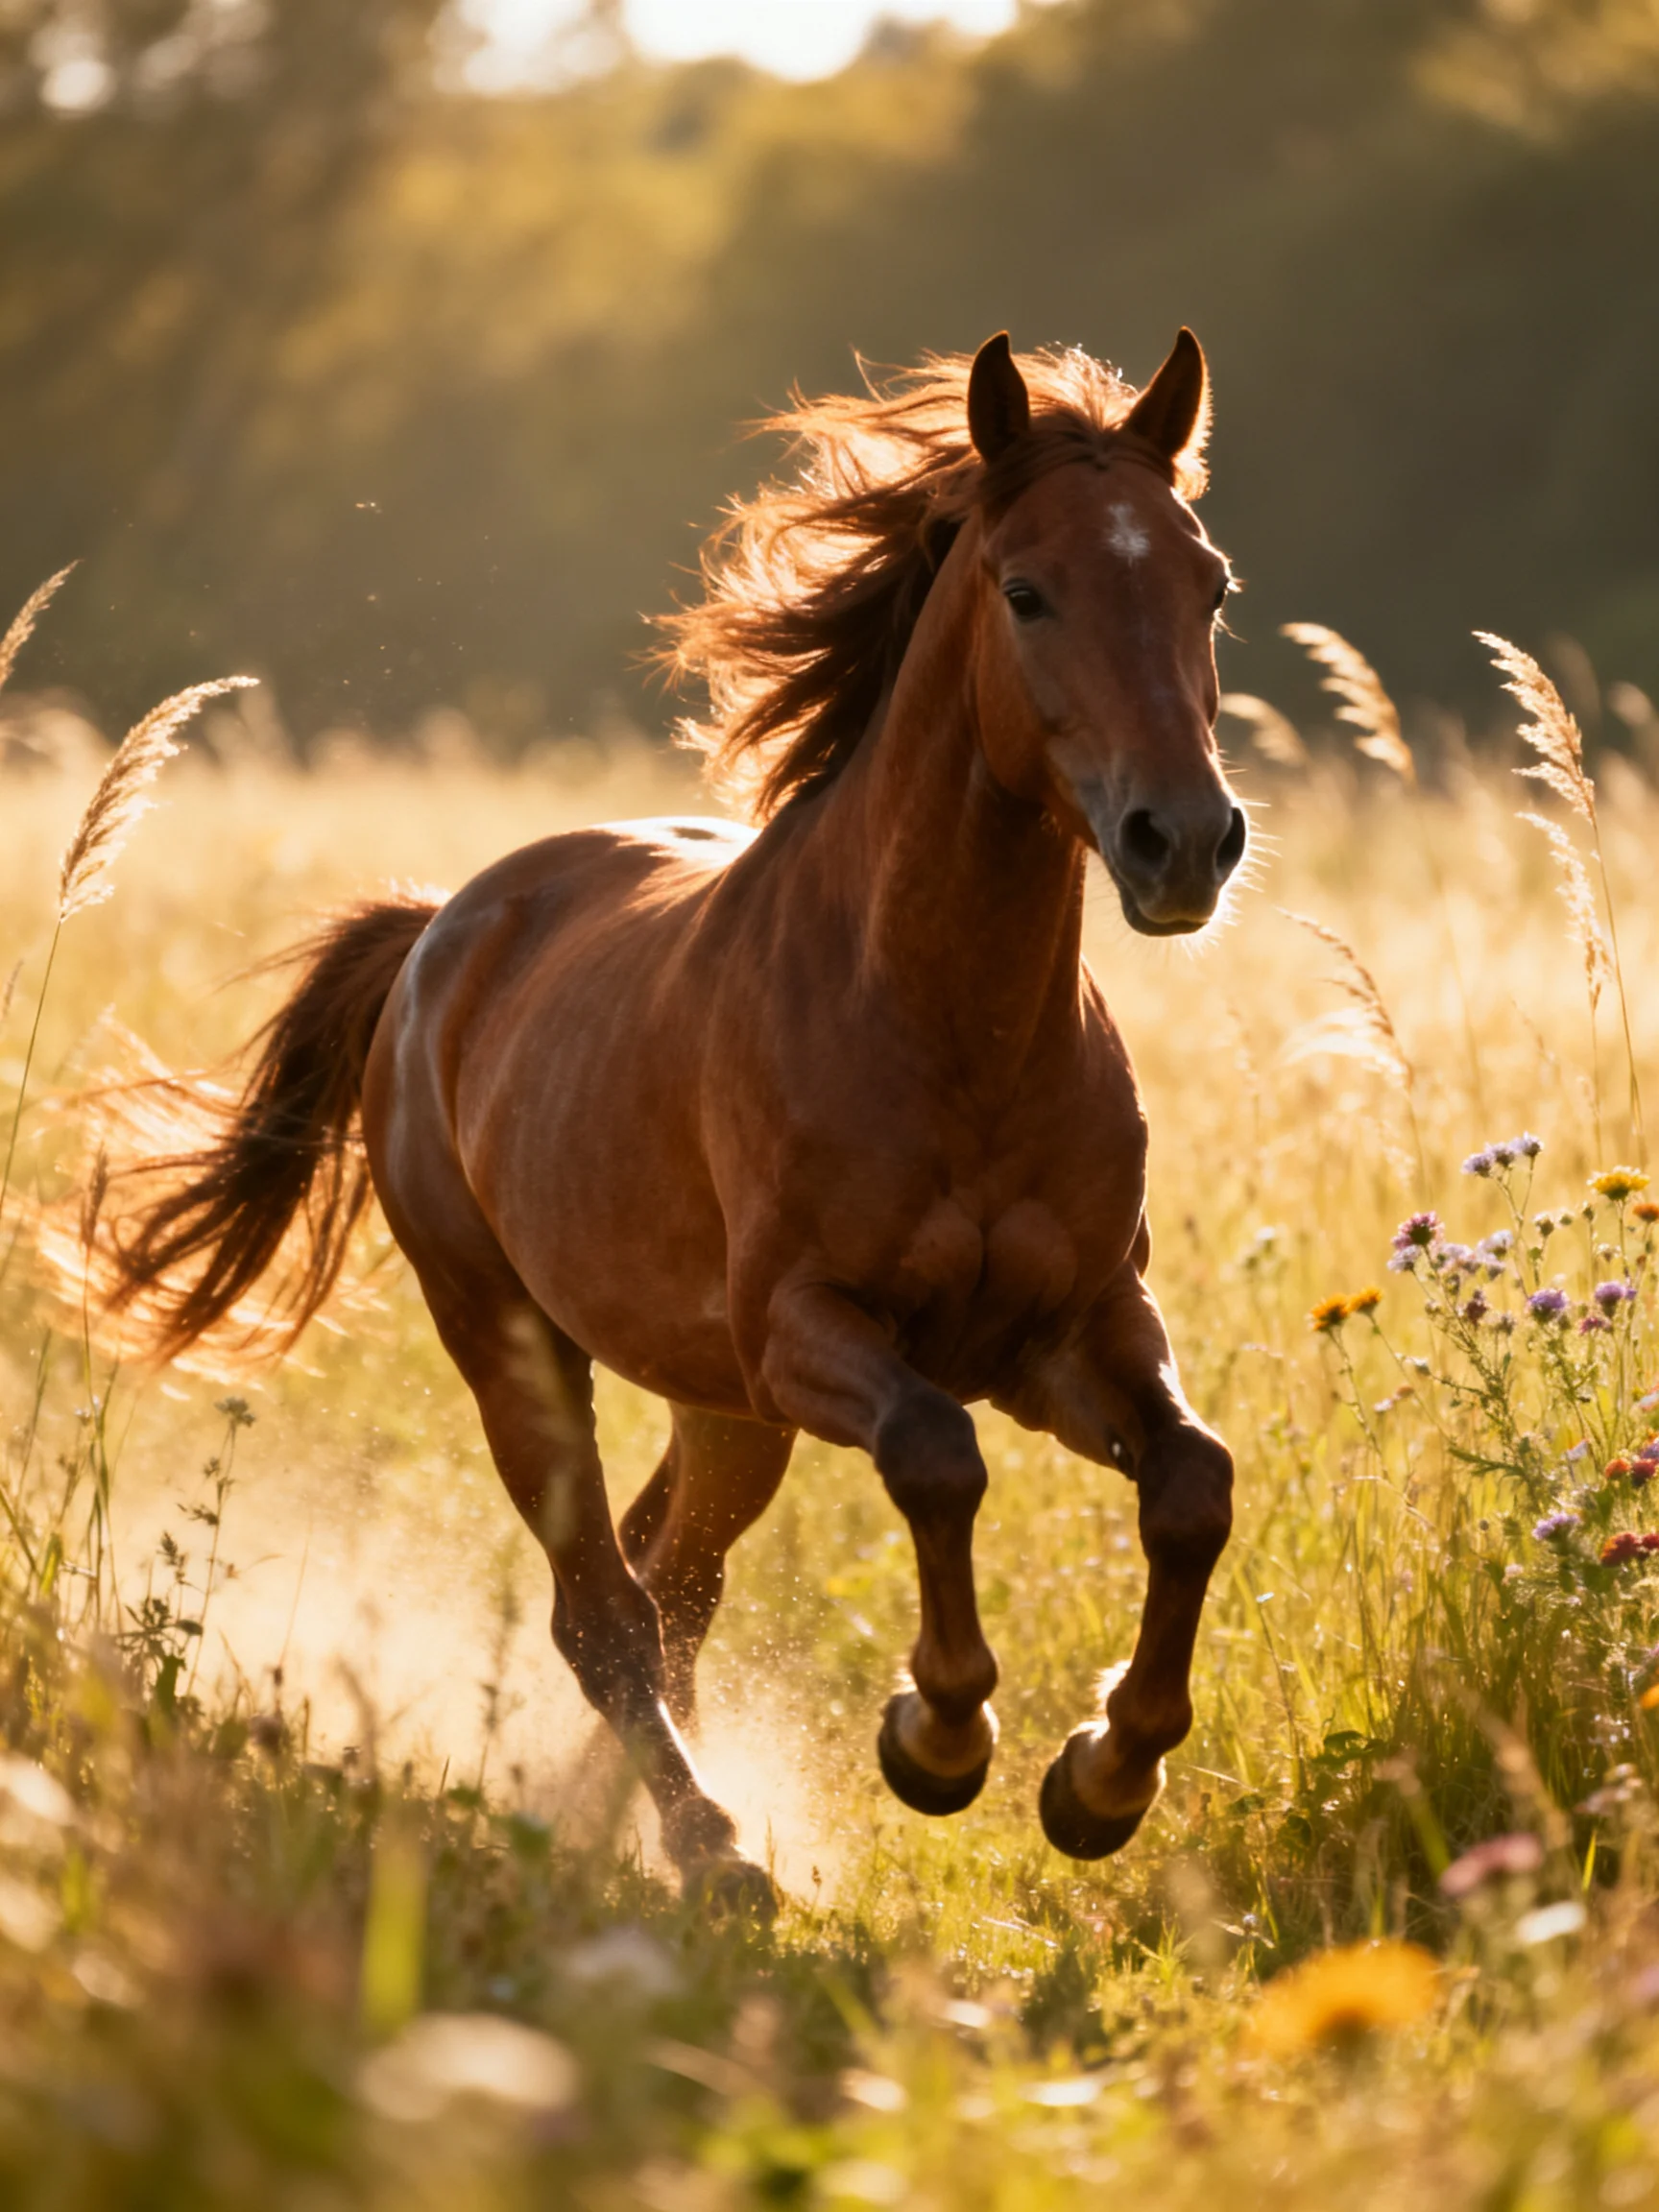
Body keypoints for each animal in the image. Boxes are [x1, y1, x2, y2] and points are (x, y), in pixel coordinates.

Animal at [108, 329, 1246, 1908]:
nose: (1183, 842)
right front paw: (936, 1737)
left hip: (724, 1409)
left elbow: (1194, 1484)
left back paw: (650, 1816)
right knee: (604, 1606)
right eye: (1029, 590)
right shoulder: (811, 1330)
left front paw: (1102, 1779)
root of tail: (439, 931)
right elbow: (935, 1458)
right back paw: (710, 1845)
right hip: (521, 1348)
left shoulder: (1071, 1330)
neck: (947, 1030)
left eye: (1210, 584)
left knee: (669, 1577)